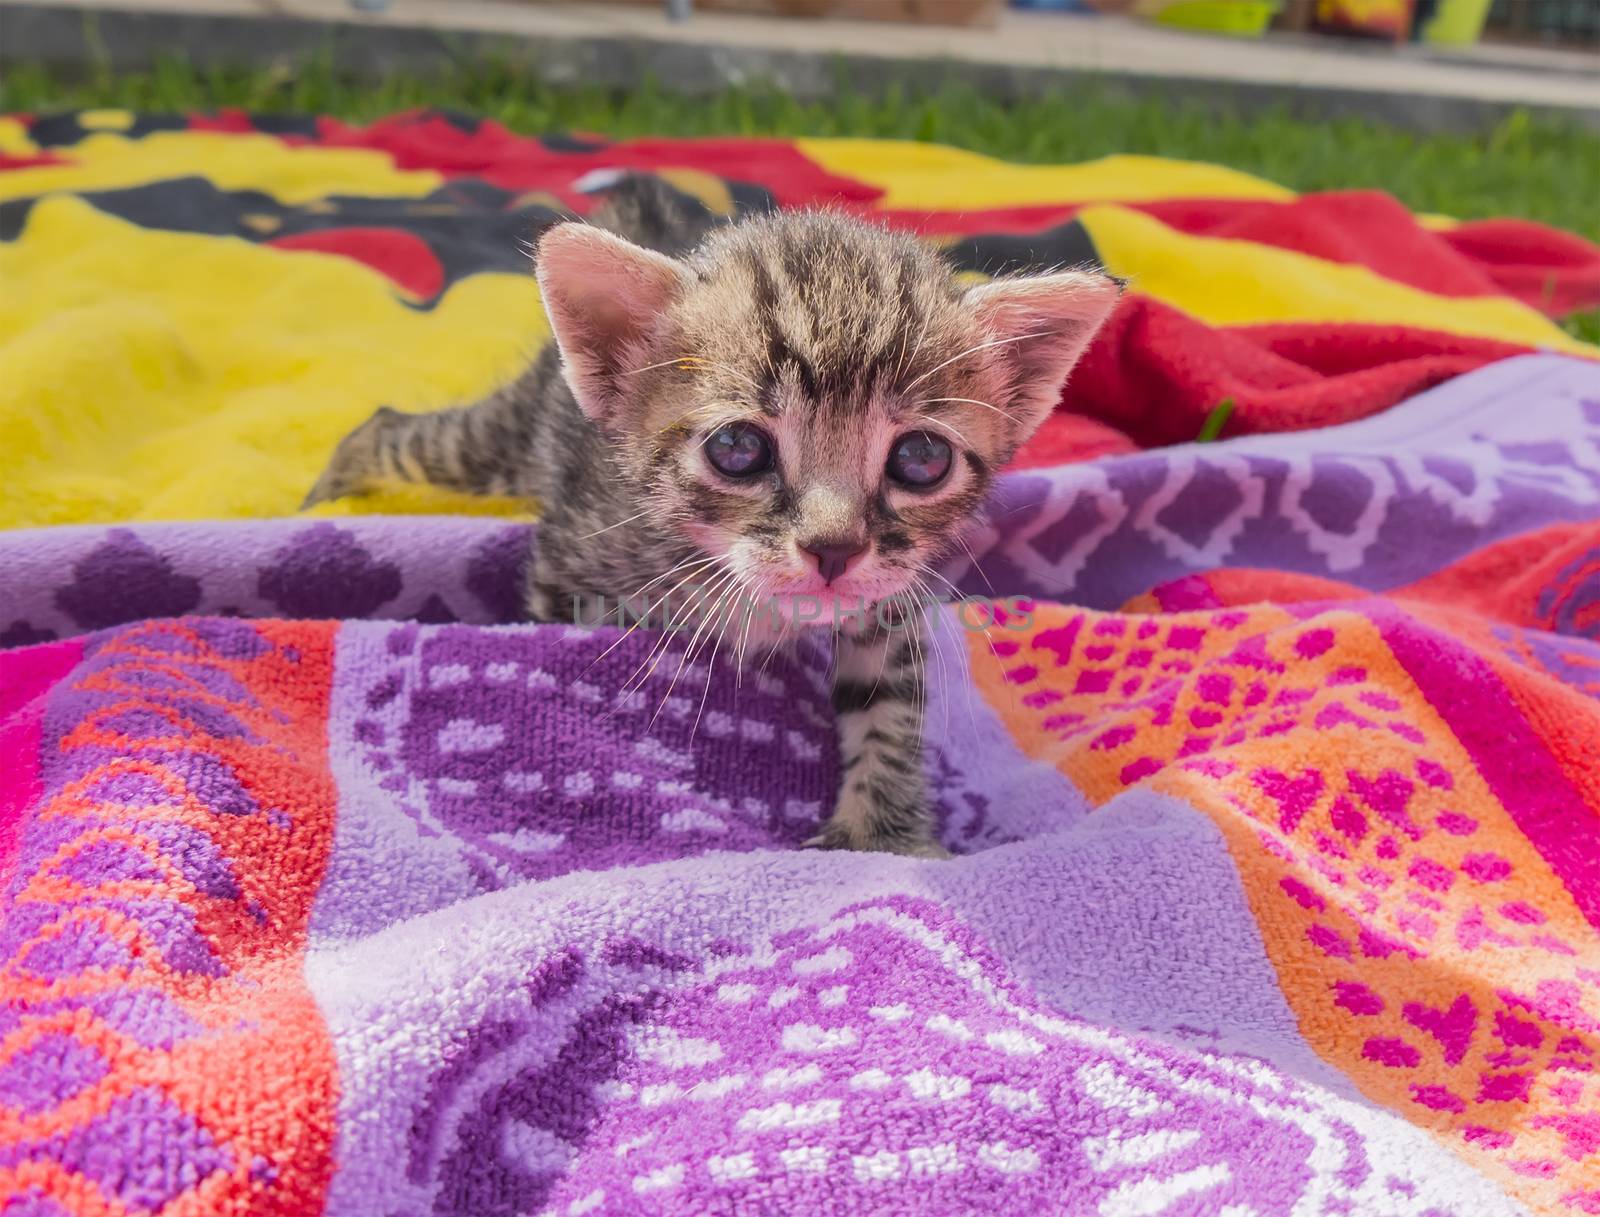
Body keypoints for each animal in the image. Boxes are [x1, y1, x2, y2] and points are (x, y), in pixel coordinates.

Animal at [305, 178, 1120, 857]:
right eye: (736, 449)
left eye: (921, 457)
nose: (834, 549)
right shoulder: (570, 567)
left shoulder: (892, 590)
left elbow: (889, 709)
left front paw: (883, 835)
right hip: (493, 448)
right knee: (392, 431)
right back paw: (329, 493)